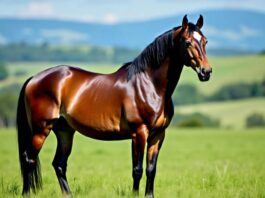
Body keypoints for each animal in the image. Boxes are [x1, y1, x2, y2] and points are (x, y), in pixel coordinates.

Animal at [16, 15, 210, 196]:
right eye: (187, 42)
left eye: (205, 41)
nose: (206, 72)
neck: (149, 85)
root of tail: (34, 78)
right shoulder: (139, 133)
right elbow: (137, 170)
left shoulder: (158, 135)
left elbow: (151, 170)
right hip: (41, 130)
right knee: (29, 160)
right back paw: (26, 193)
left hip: (64, 131)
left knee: (59, 164)